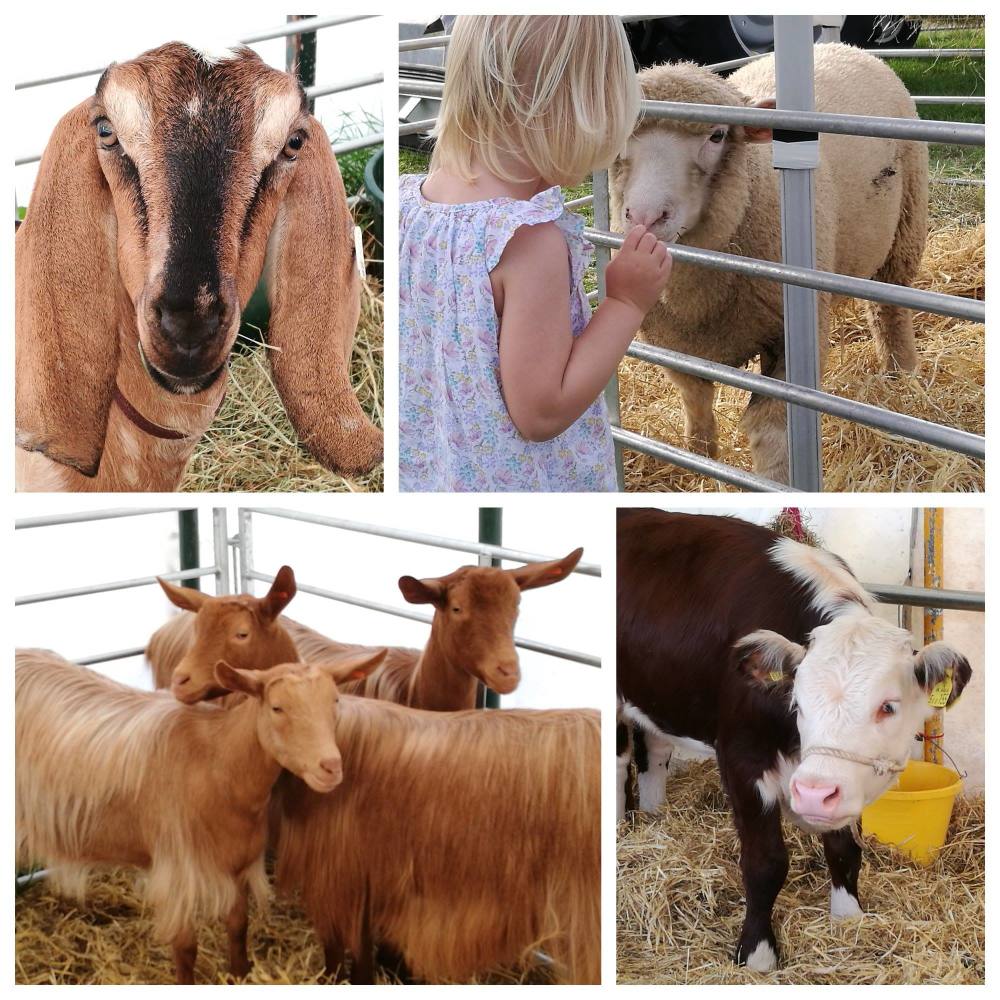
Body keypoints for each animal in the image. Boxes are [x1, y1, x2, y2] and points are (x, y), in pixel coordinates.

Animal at [18, 644, 390, 980]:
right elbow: (185, 949)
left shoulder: (238, 862)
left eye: (335, 702)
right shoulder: (177, 872)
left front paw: (240, 973)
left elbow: (238, 926)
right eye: (277, 707)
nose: (331, 767)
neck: (216, 761)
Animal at [608, 45, 928, 482]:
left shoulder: (787, 339)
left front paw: (778, 482)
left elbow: (771, 432)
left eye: (717, 135)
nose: (644, 216)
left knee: (889, 311)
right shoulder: (673, 343)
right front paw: (700, 463)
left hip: (905, 229)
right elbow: (695, 402)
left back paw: (901, 378)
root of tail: (843, 47)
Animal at [616, 508, 968, 968]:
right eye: (796, 703)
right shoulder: (742, 758)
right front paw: (758, 954)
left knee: (652, 752)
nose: (814, 794)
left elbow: (844, 849)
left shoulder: (834, 780)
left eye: (888, 706)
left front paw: (848, 918)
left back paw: (655, 818)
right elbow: (765, 864)